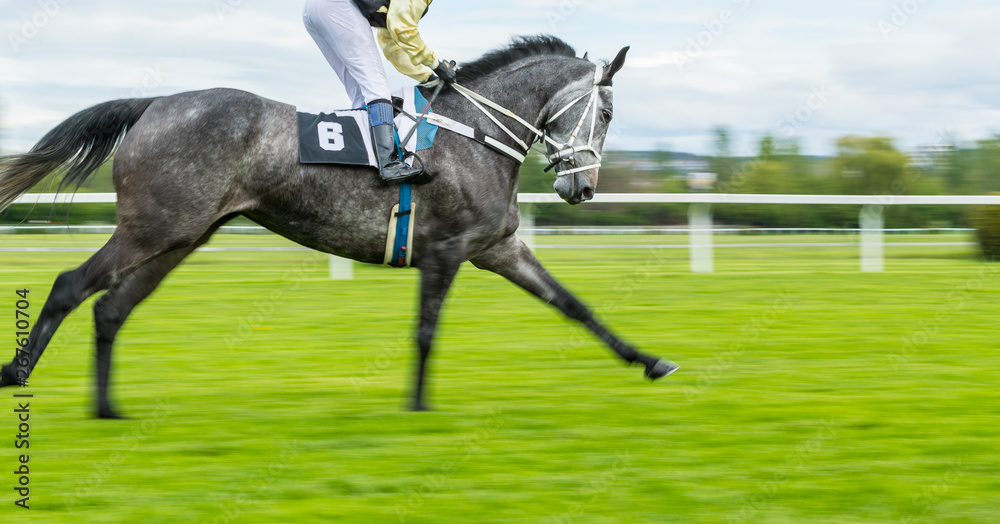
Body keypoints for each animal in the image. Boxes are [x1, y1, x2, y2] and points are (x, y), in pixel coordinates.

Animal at [0, 33, 676, 418]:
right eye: (607, 112)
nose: (581, 188)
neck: (475, 136)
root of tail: (154, 104)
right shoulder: (446, 249)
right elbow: (426, 331)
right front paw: (418, 405)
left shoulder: (498, 247)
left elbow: (574, 305)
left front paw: (649, 361)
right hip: (152, 227)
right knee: (69, 285)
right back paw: (17, 373)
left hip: (179, 237)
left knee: (110, 307)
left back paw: (107, 407)